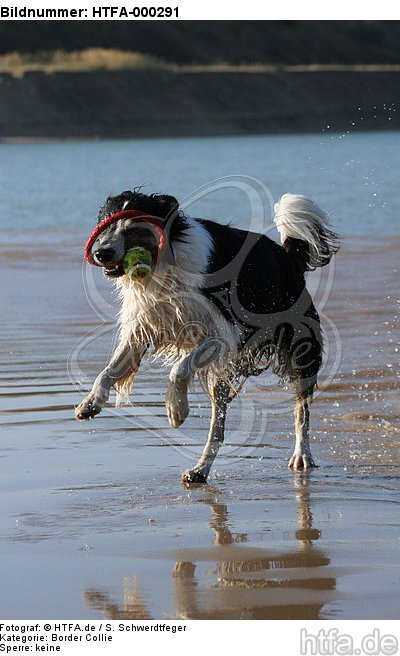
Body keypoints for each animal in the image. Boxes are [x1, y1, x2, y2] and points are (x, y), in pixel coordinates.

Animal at [75, 190, 338, 482]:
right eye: (105, 226)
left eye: (134, 228)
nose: (101, 253)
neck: (163, 264)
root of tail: (289, 257)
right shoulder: (145, 326)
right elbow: (109, 370)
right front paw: (89, 403)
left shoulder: (227, 333)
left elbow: (179, 369)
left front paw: (176, 410)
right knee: (218, 428)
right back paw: (199, 470)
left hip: (299, 345)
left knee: (301, 409)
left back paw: (302, 456)